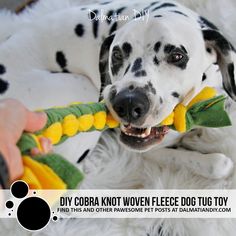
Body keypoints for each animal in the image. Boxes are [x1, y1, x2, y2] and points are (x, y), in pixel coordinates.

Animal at [0, 0, 235, 181]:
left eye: (177, 56)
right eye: (117, 54)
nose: (128, 104)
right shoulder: (148, 151)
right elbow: (219, 164)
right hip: (83, 87)